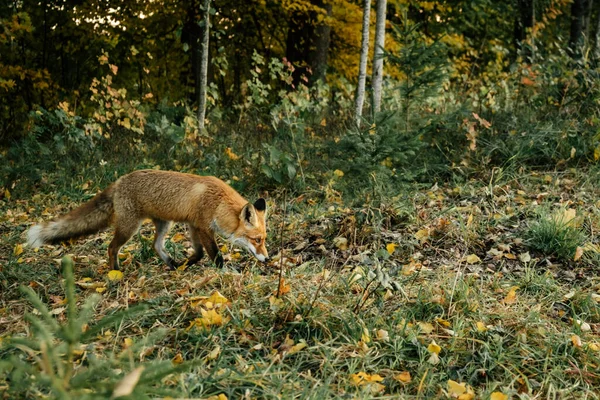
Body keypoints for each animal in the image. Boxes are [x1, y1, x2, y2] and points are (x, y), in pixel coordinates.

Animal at [28, 170, 268, 270]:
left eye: (264, 239)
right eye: (257, 240)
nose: (267, 259)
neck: (218, 203)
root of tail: (119, 181)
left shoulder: (193, 225)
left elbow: (199, 254)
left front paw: (184, 265)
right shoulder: (203, 227)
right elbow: (215, 256)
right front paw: (227, 272)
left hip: (164, 224)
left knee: (155, 245)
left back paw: (171, 264)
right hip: (129, 228)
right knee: (111, 247)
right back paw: (115, 271)